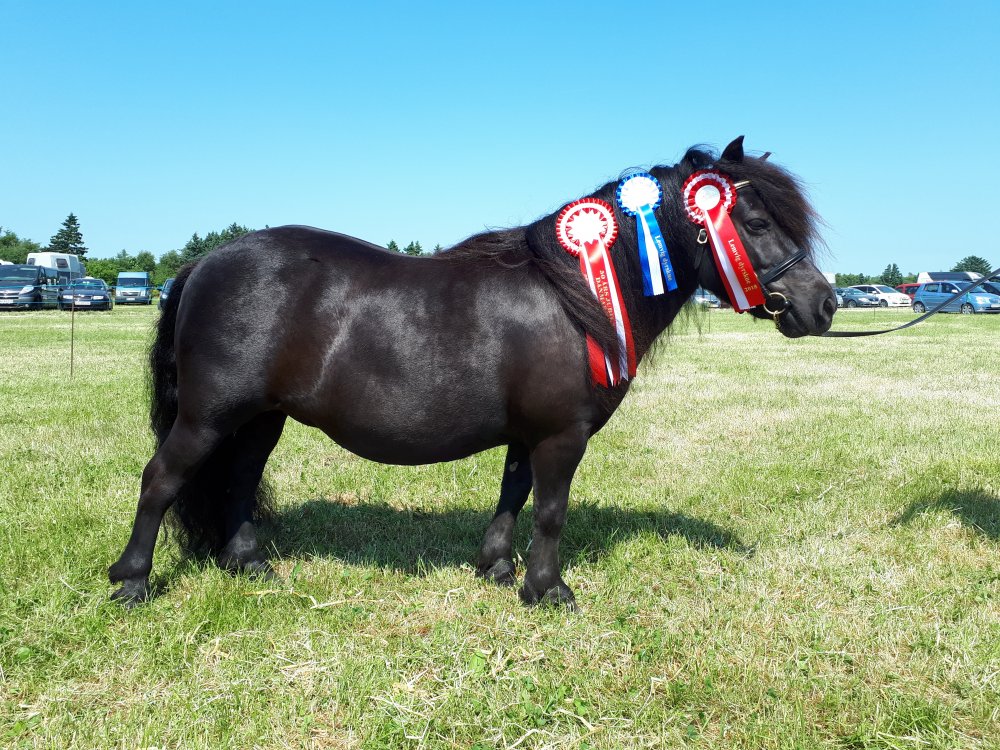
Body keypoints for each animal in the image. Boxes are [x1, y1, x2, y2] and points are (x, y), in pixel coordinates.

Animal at [109, 136, 836, 608]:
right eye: (755, 220)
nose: (822, 304)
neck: (577, 296)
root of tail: (205, 262)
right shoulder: (561, 436)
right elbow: (551, 510)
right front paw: (549, 590)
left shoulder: (528, 433)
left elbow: (513, 495)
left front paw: (495, 568)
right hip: (209, 416)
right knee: (161, 478)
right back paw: (132, 581)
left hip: (261, 419)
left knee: (238, 479)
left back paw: (248, 564)